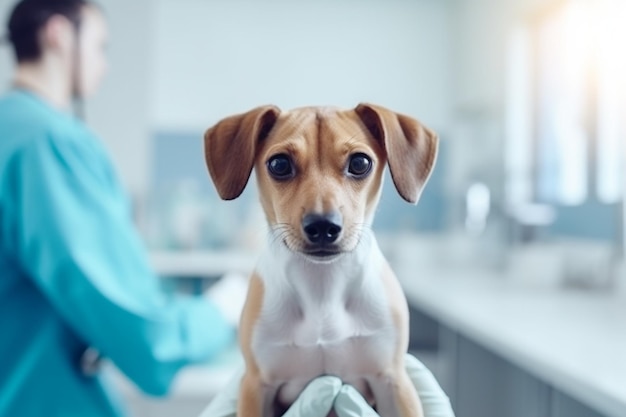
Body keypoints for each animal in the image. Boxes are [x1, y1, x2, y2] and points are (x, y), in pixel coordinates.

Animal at [202, 103, 436, 416]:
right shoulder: (254, 386)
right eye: (279, 164)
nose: (323, 226)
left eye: (360, 163)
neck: (322, 286)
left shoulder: (395, 382)